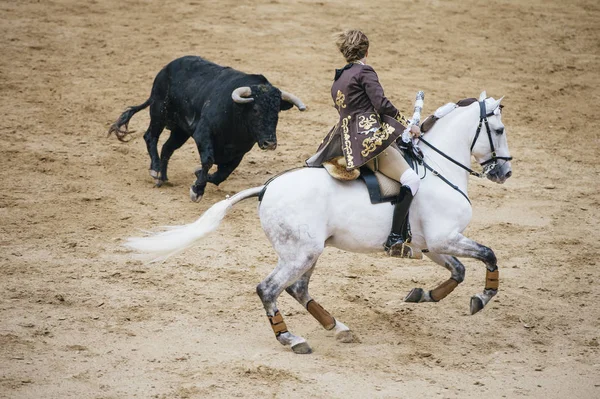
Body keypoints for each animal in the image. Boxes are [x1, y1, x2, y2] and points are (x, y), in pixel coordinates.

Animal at [106, 54, 304, 202]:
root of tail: (166, 69)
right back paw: (155, 170)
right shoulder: (203, 133)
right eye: (255, 109)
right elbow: (208, 160)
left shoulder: (240, 151)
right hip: (158, 111)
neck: (235, 115)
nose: (270, 143)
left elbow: (222, 173)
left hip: (180, 131)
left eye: (277, 111)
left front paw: (199, 175)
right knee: (150, 137)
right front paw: (197, 190)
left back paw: (163, 177)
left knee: (167, 147)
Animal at [125, 92, 510, 354]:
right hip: (302, 253)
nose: (504, 172)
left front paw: (422, 294)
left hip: (309, 252)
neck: (440, 168)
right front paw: (483, 297)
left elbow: (458, 270)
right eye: (500, 128)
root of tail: (267, 187)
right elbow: (489, 255)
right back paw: (291, 338)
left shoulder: (433, 245)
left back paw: (337, 327)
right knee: (269, 289)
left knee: (297, 289)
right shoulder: (446, 238)